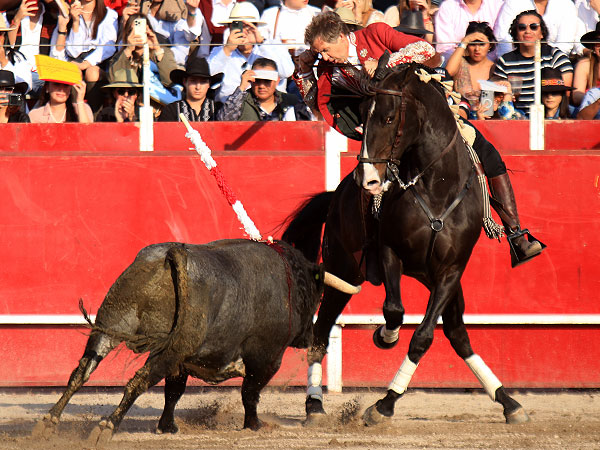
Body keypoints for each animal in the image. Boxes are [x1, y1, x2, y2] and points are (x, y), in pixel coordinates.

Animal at [31, 241, 352, 444]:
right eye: (316, 296)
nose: (309, 338)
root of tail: (170, 253)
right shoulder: (266, 358)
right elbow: (250, 392)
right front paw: (253, 425)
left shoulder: (183, 362)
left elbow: (173, 393)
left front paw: (166, 427)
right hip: (171, 348)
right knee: (137, 382)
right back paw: (106, 426)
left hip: (111, 327)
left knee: (81, 373)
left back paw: (49, 423)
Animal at [284, 63, 528, 426]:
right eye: (361, 117)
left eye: (388, 118)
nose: (368, 179)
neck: (436, 186)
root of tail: (336, 196)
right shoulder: (390, 253)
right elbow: (394, 310)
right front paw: (384, 338)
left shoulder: (451, 271)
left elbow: (424, 336)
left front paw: (385, 403)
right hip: (342, 273)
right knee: (320, 332)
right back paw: (314, 405)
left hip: (436, 282)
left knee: (457, 333)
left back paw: (508, 401)